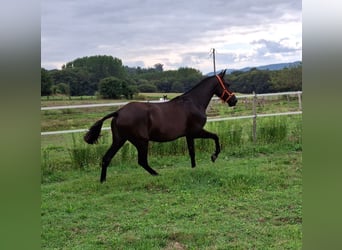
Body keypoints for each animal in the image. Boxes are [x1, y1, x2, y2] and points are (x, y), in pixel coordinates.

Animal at [84, 69, 236, 183]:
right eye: (228, 84)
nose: (234, 100)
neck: (193, 102)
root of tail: (118, 112)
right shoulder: (196, 131)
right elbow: (216, 137)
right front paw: (214, 156)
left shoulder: (189, 135)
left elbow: (192, 152)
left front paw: (194, 169)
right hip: (141, 141)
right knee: (142, 161)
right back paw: (157, 174)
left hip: (119, 140)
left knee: (106, 158)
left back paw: (103, 181)